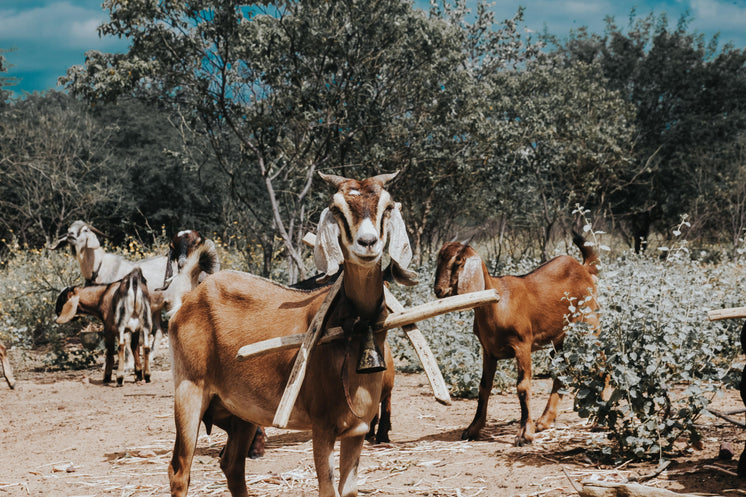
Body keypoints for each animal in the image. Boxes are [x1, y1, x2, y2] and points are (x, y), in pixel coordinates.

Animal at [165, 170, 416, 496]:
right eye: (337, 209)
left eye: (386, 207)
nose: (367, 243)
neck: (352, 327)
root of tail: (189, 298)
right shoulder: (323, 428)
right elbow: (327, 489)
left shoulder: (356, 432)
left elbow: (348, 490)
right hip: (189, 391)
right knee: (179, 470)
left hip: (243, 412)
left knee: (232, 464)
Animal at [430, 232, 600, 446]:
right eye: (439, 259)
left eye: (458, 262)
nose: (439, 290)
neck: (497, 302)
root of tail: (584, 269)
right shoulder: (488, 351)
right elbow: (484, 387)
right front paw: (472, 429)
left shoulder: (522, 346)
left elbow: (523, 386)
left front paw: (524, 434)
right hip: (559, 338)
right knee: (561, 370)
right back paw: (544, 421)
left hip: (590, 325)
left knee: (602, 360)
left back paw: (599, 421)